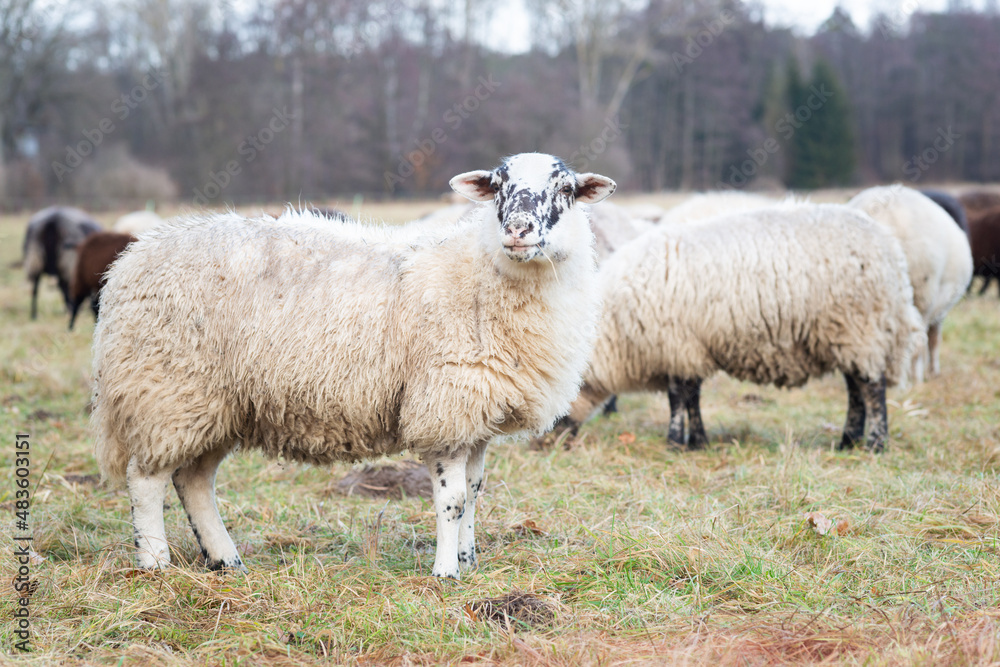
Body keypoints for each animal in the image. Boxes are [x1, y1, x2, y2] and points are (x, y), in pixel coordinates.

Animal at [92, 151, 616, 580]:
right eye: (498, 185)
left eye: (565, 190)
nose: (518, 230)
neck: (476, 273)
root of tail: (131, 259)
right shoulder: (443, 410)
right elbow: (452, 501)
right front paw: (446, 573)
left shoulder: (476, 414)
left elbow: (475, 492)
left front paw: (469, 561)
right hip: (166, 390)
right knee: (146, 480)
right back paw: (155, 563)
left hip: (216, 405)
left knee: (194, 481)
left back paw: (226, 560)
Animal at [556, 204, 920, 454]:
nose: (548, 443)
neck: (616, 334)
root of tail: (891, 253)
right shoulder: (690, 351)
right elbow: (692, 397)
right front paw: (698, 441)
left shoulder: (676, 346)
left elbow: (677, 400)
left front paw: (675, 443)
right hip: (847, 337)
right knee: (855, 389)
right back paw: (848, 441)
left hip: (861, 329)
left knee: (873, 390)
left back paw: (875, 444)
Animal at [848, 185, 972, 380]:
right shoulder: (938, 308)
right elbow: (934, 339)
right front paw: (932, 370)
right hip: (922, 293)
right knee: (917, 340)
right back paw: (916, 377)